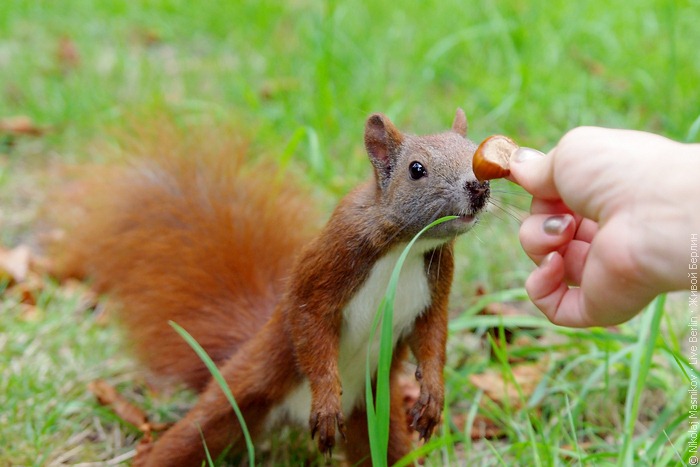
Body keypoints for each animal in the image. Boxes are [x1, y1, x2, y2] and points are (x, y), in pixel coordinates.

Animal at [53, 109, 490, 466]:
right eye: (416, 169)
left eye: (475, 152)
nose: (479, 188)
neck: (407, 246)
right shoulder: (330, 261)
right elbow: (310, 321)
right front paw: (326, 401)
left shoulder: (435, 287)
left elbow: (432, 336)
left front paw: (432, 393)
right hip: (238, 391)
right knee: (186, 439)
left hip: (376, 420)